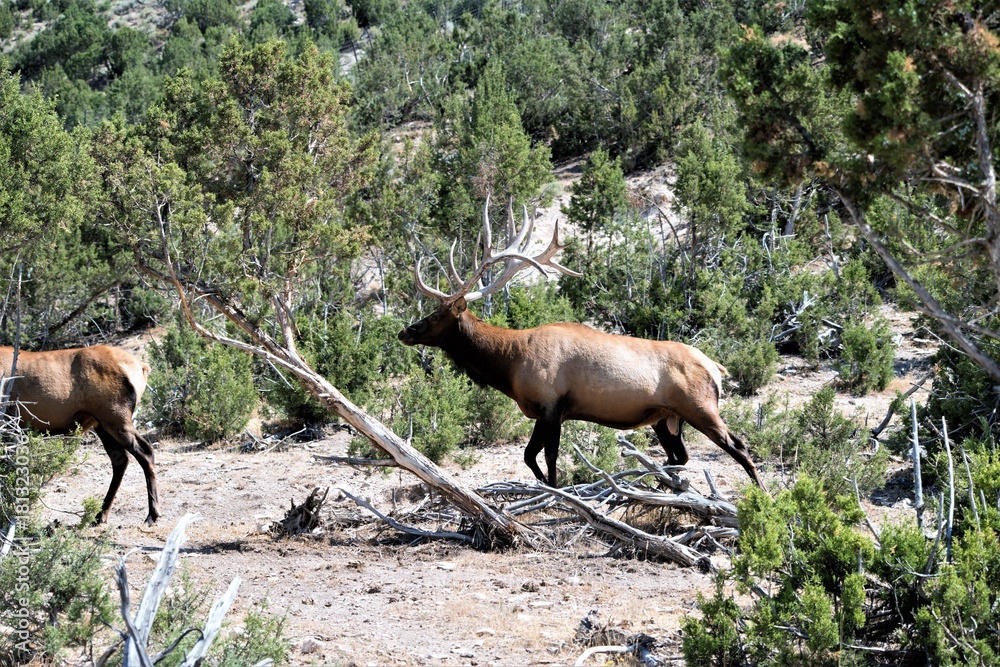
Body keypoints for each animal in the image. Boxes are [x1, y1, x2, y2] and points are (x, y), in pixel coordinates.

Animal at [0, 345, 160, 525]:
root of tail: (142, 367)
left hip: (116, 417)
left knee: (145, 452)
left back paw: (152, 515)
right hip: (102, 424)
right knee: (120, 459)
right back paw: (101, 515)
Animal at [398, 197, 766, 490]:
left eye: (436, 314)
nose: (405, 332)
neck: (510, 364)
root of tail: (717, 367)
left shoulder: (552, 405)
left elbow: (547, 457)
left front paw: (556, 491)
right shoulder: (546, 412)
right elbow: (530, 457)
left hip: (700, 407)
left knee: (739, 446)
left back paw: (761, 494)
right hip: (666, 419)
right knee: (681, 457)